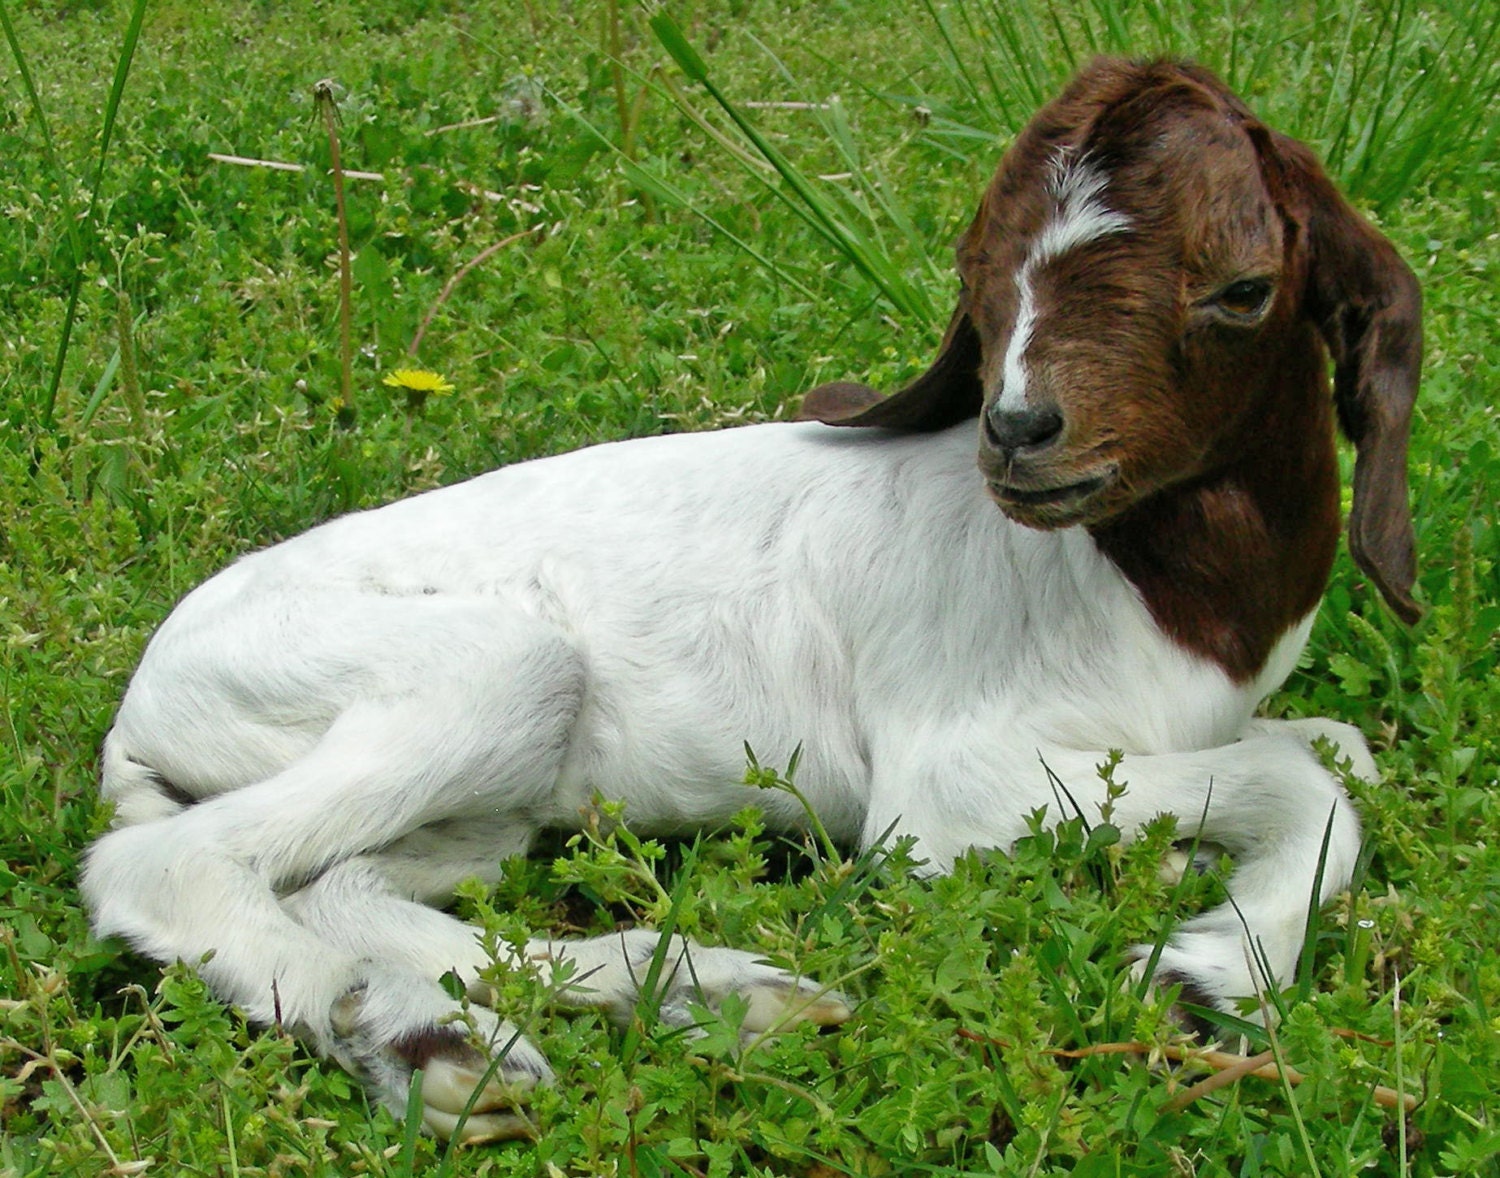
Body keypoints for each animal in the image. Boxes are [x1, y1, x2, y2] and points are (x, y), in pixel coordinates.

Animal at [83, 57, 1421, 1142]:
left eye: (1243, 287)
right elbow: (1304, 777)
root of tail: (145, 702)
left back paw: (690, 1002)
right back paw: (427, 1037)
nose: (1020, 434)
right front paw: (1205, 974)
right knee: (162, 866)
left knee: (339, 882)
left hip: (495, 791)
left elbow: (1341, 749)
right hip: (482, 672)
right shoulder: (949, 786)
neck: (1147, 586)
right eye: (981, 272)